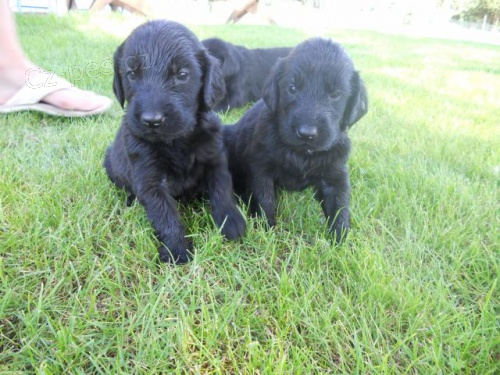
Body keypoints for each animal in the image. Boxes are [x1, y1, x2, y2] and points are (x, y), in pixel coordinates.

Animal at [104, 20, 246, 266]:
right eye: (131, 73)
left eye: (182, 74)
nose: (152, 120)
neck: (176, 141)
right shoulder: (150, 179)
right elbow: (165, 215)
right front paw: (177, 250)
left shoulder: (215, 159)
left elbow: (222, 190)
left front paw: (231, 223)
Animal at [223, 37, 368, 244]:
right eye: (292, 88)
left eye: (335, 94)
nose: (306, 133)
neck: (302, 154)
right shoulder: (261, 168)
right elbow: (265, 199)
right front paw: (267, 230)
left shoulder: (335, 174)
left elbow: (340, 206)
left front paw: (340, 240)